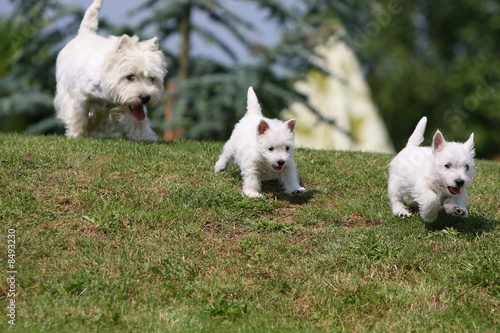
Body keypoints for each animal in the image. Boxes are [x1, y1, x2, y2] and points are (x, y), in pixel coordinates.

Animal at [53, 0, 166, 141]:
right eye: (130, 76)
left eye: (152, 78)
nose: (145, 97)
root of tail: (84, 33)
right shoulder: (80, 98)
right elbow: (79, 117)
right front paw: (77, 136)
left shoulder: (135, 105)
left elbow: (140, 120)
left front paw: (145, 137)